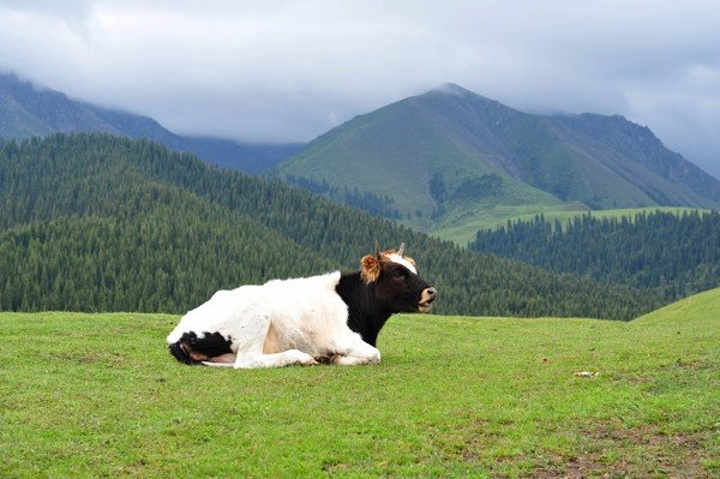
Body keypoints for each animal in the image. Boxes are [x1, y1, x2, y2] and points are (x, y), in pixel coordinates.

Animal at [167, 246, 438, 370]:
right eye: (398, 273)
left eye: (414, 269)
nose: (431, 292)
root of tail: (177, 332)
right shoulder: (341, 338)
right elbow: (374, 354)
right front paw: (337, 358)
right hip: (257, 316)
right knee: (249, 361)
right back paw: (302, 357)